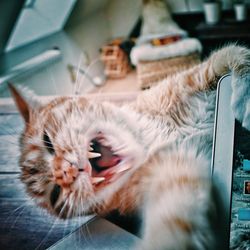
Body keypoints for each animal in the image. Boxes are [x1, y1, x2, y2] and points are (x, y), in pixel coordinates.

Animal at [10, 45, 250, 250]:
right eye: (55, 194)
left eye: (47, 141)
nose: (65, 172)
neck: (153, 140)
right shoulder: (174, 174)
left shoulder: (195, 77)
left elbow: (231, 54)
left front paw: (245, 94)